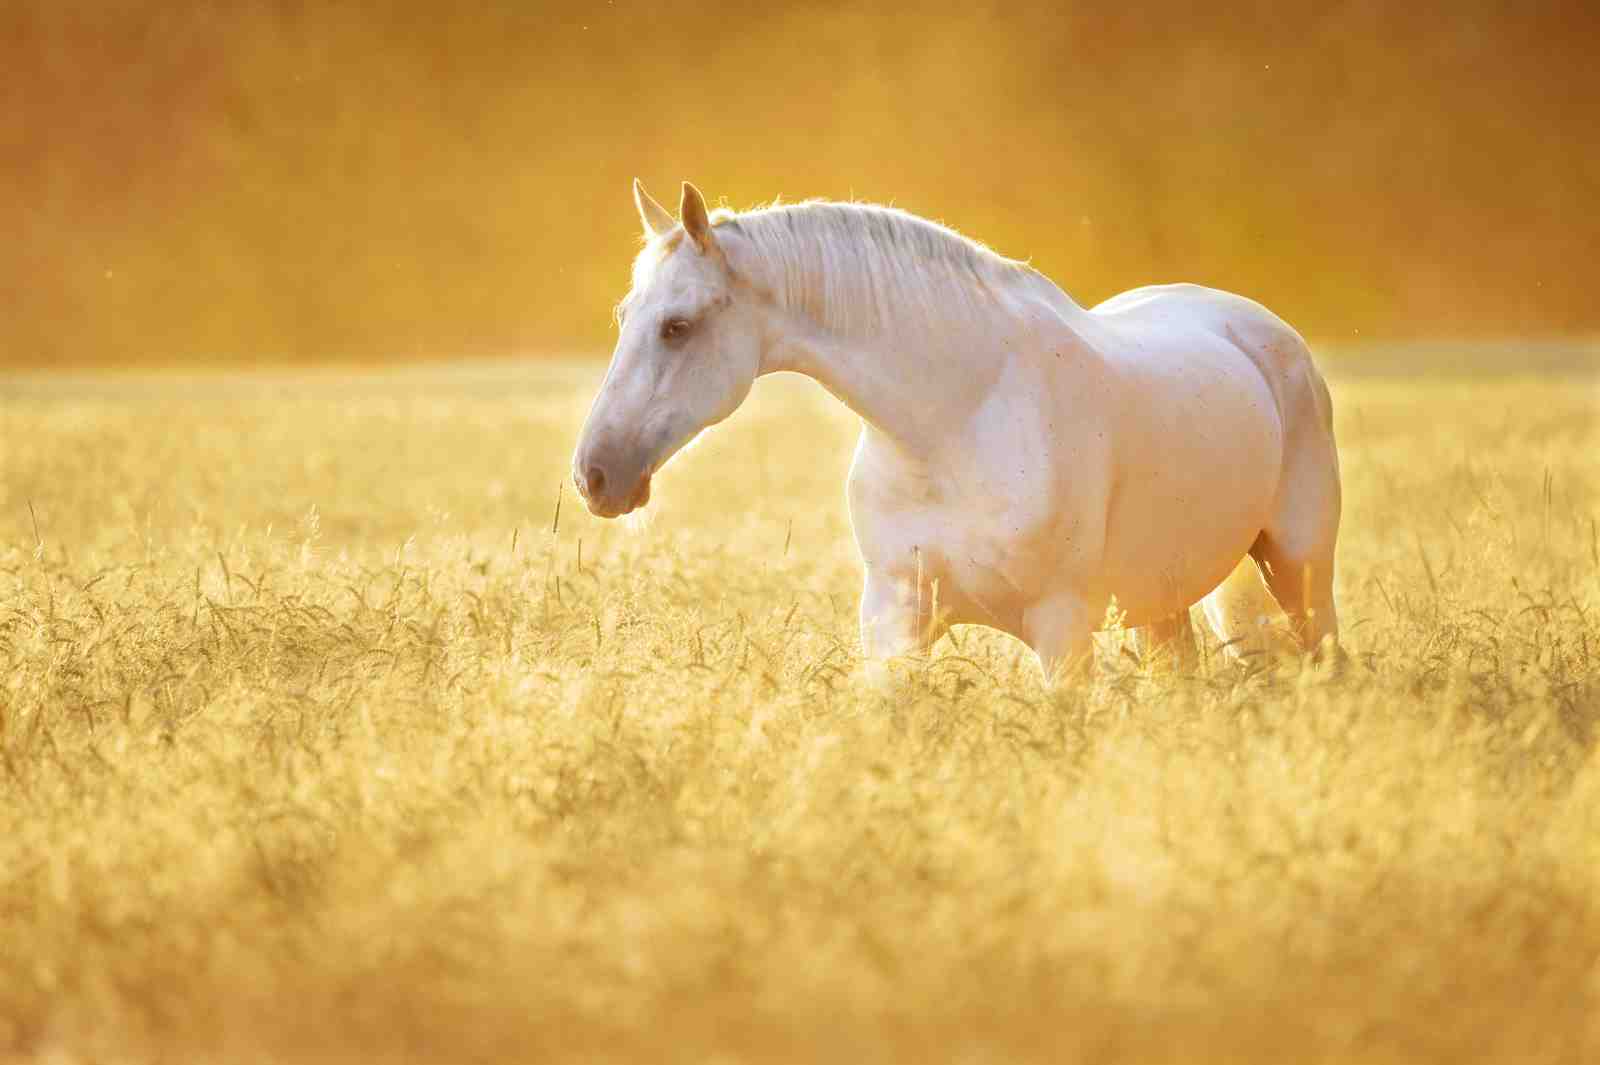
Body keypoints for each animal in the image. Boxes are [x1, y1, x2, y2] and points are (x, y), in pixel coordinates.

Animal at [572, 180, 1341, 680]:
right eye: (623, 316)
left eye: (677, 326)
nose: (595, 474)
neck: (953, 421)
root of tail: (1266, 331)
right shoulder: (894, 621)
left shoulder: (1062, 630)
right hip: (1164, 601)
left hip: (1299, 572)